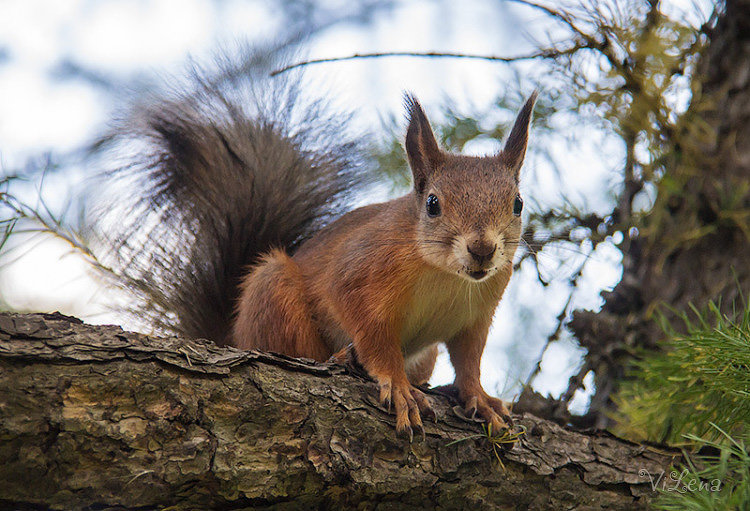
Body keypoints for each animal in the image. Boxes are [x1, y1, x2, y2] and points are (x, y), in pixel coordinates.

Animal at [94, 48, 536, 440]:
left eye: (517, 203)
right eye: (432, 204)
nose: (482, 250)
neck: (445, 275)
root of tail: (232, 338)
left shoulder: (477, 313)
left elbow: (469, 360)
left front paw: (480, 398)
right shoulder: (362, 274)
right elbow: (374, 336)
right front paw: (398, 385)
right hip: (274, 293)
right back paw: (342, 358)